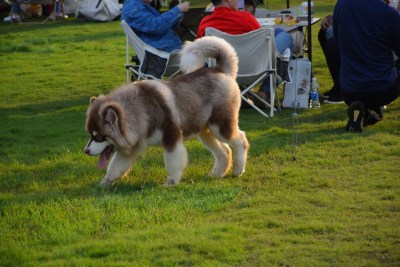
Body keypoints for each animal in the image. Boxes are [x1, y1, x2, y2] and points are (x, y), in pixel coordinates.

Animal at [83, 36, 248, 188]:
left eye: (99, 137)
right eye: (90, 134)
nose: (86, 151)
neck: (141, 109)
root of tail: (220, 70)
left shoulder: (171, 139)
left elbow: (172, 164)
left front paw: (170, 183)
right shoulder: (128, 148)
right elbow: (114, 167)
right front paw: (104, 184)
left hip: (221, 126)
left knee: (241, 140)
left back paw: (238, 170)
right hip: (205, 131)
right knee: (225, 150)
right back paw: (216, 174)